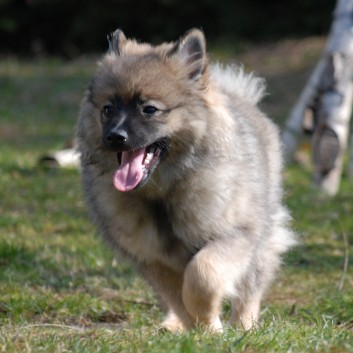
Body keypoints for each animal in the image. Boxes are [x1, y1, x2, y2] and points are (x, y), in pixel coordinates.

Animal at [76, 28, 294, 330]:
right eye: (108, 109)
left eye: (149, 109)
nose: (114, 137)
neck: (162, 193)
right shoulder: (154, 260)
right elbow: (179, 298)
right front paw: (201, 328)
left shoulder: (234, 235)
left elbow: (202, 277)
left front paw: (210, 326)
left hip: (261, 240)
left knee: (250, 287)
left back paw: (245, 327)